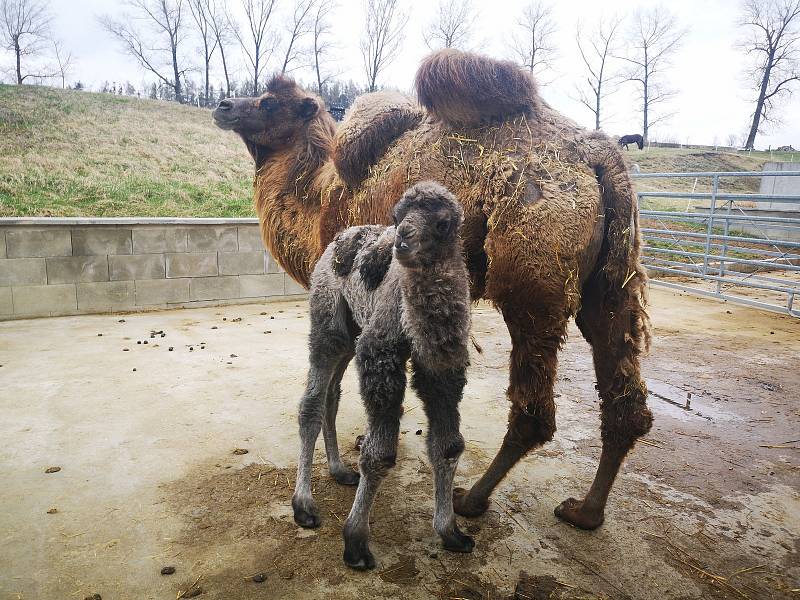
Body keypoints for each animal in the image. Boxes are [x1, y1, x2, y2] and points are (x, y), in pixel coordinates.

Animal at [290, 180, 472, 568]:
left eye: (443, 224)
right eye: (398, 215)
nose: (402, 238)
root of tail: (333, 244)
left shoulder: (442, 371)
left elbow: (448, 445)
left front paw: (451, 531)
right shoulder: (380, 354)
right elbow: (381, 454)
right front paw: (356, 542)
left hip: (351, 333)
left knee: (331, 396)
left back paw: (340, 471)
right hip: (328, 323)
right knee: (311, 402)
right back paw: (304, 506)